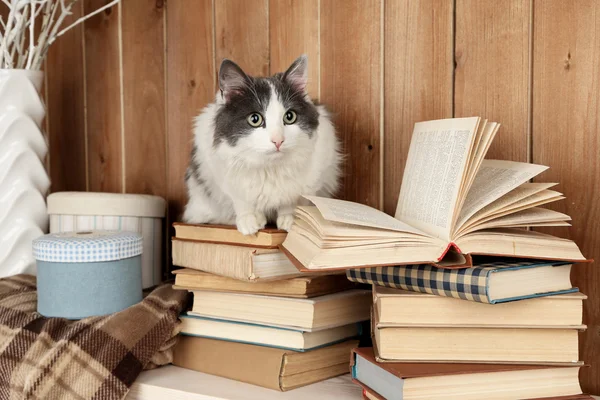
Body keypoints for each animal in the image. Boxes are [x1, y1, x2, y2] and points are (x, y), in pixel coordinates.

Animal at [183, 54, 340, 234]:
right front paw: (250, 221)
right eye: (255, 119)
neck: (269, 169)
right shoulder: (220, 173)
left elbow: (291, 200)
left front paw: (289, 220)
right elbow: (242, 201)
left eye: (290, 117)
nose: (278, 140)